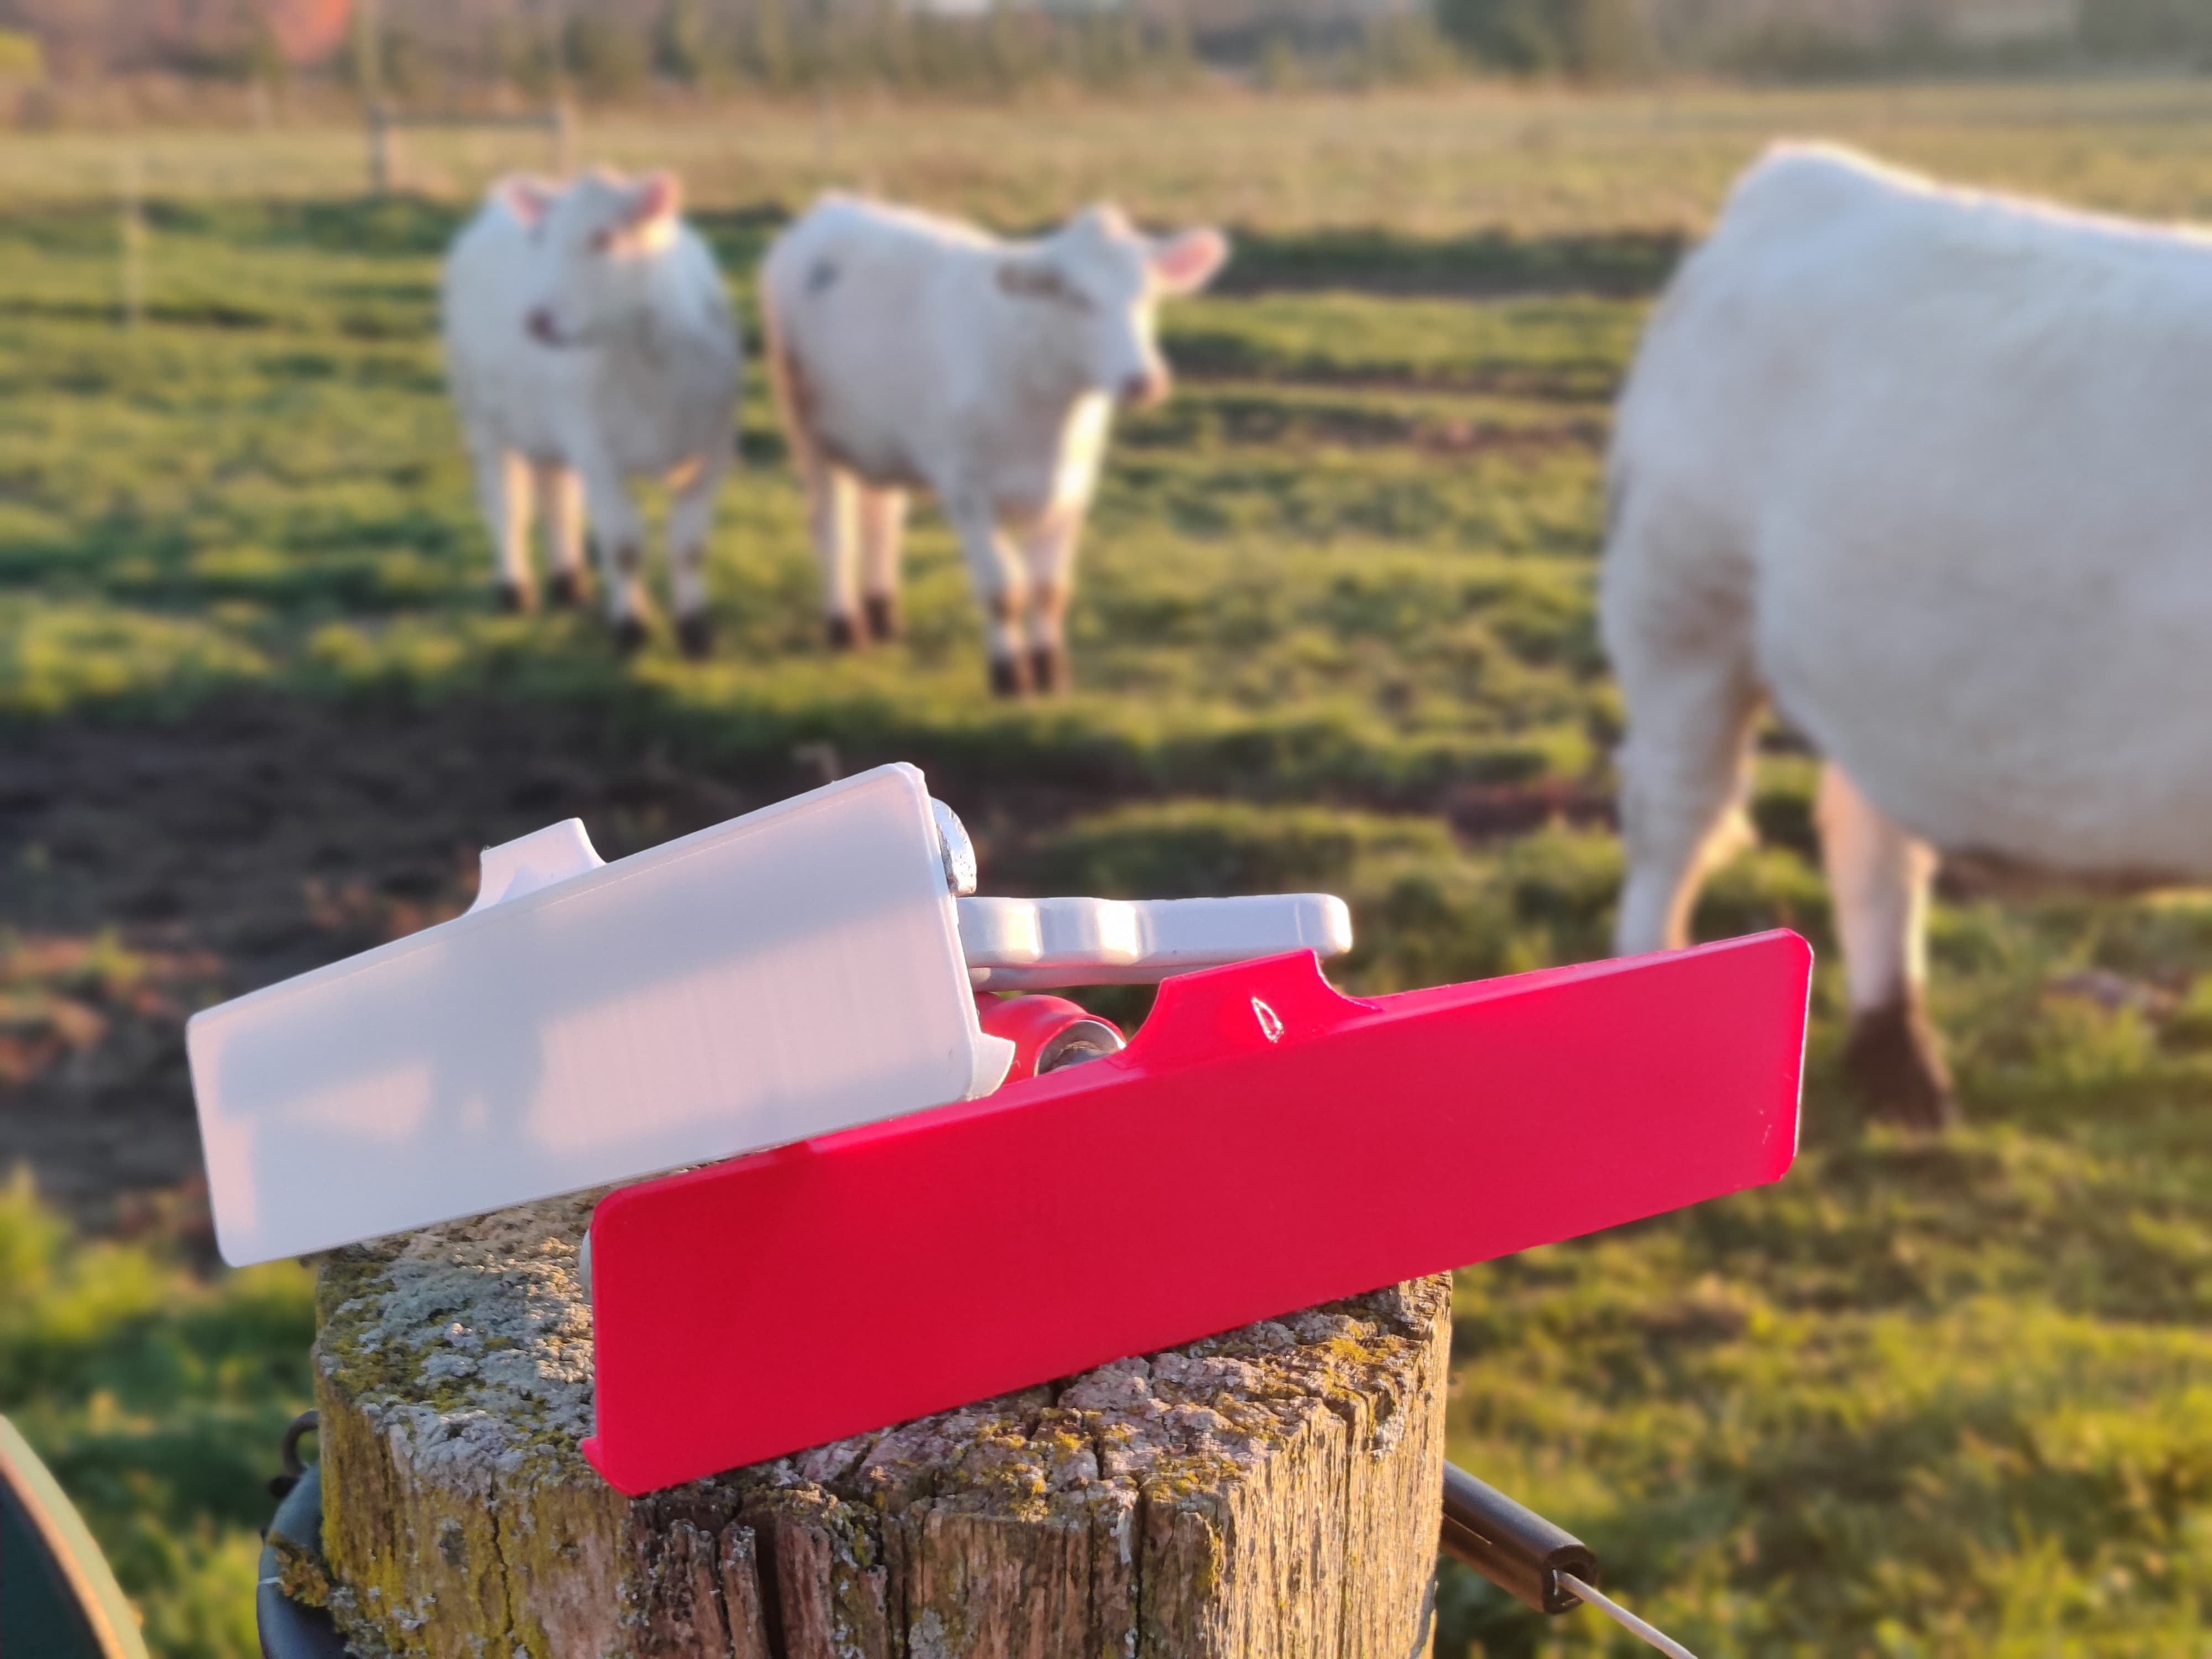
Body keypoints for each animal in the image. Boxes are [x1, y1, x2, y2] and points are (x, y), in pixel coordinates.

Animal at [442, 168, 740, 657]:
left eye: (605, 238)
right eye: (539, 237)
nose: (537, 320)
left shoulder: (712, 449)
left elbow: (689, 545)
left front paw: (695, 630)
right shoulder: (596, 450)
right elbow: (623, 545)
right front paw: (632, 627)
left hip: (547, 423)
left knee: (556, 495)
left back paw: (569, 584)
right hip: (481, 414)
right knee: (506, 504)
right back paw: (515, 590)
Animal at [760, 196, 1229, 695]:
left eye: (1150, 295)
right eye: (1077, 297)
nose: (1145, 382)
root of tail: (833, 205)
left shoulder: (1073, 492)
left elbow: (1050, 591)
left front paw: (1050, 670)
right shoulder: (967, 491)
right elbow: (1004, 590)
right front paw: (1009, 675)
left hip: (882, 437)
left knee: (880, 520)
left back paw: (885, 616)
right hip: (808, 431)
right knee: (833, 531)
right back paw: (845, 627)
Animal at [1602, 141, 2212, 1128]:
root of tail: (1800, 175)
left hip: (1877, 665)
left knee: (1867, 832)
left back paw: (1899, 1058)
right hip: (1683, 603)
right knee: (1677, 815)